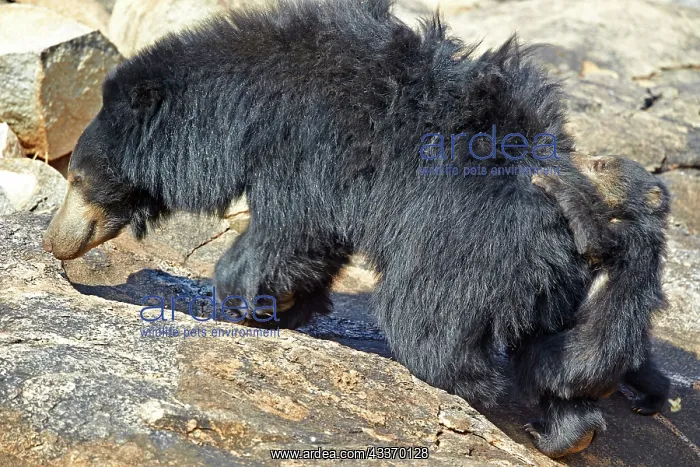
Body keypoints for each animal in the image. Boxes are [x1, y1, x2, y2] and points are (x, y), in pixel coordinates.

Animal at [41, 0, 670, 458]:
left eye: (78, 177)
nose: (54, 241)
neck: (237, 104)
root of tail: (577, 220)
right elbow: (310, 246)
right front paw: (288, 307)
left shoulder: (305, 145)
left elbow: (289, 232)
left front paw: (240, 299)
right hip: (556, 284)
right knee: (565, 357)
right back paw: (566, 431)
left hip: (466, 245)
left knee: (428, 316)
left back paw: (471, 387)